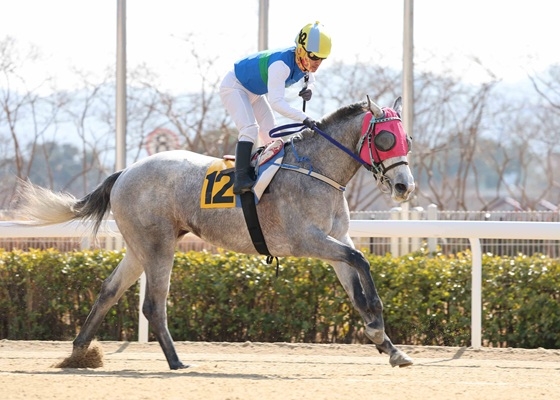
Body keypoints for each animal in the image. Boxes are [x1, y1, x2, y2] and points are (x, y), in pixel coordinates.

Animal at [14, 95, 416, 370]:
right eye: (384, 139)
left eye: (406, 138)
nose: (404, 187)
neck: (316, 170)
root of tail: (124, 172)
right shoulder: (307, 241)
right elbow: (362, 261)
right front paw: (376, 326)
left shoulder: (336, 241)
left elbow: (356, 284)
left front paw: (391, 348)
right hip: (158, 246)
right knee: (153, 303)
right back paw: (176, 361)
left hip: (139, 246)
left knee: (109, 290)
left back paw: (79, 353)